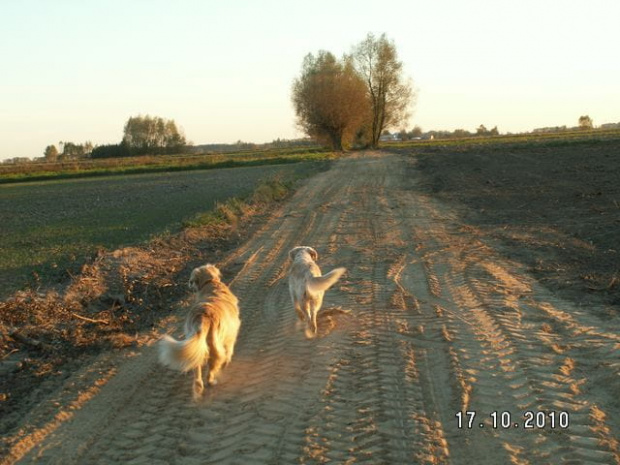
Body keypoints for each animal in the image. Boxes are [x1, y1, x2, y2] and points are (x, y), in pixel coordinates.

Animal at [159, 264, 241, 398]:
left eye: (191, 280)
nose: (188, 283)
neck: (210, 283)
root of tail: (202, 318)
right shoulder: (231, 335)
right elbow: (229, 349)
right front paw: (227, 362)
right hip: (214, 348)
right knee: (211, 369)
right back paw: (212, 381)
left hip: (196, 345)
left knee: (197, 371)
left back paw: (198, 388)